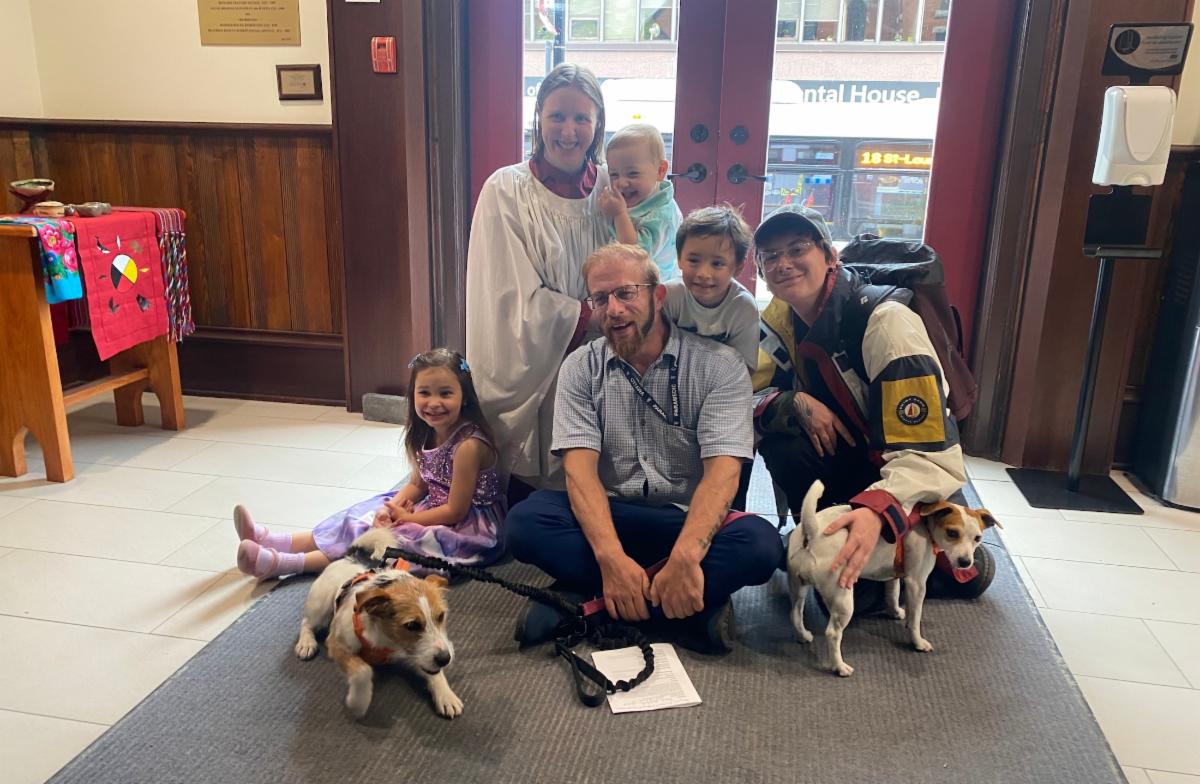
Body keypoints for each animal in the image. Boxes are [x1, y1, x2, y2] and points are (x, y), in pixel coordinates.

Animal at [294, 528, 463, 719]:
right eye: (411, 625)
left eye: (441, 616)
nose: (445, 659)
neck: (387, 640)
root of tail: (353, 554)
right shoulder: (337, 644)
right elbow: (363, 671)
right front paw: (358, 702)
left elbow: (433, 672)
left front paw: (446, 695)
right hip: (321, 605)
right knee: (306, 622)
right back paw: (306, 643)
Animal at [787, 480, 999, 676]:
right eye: (952, 532)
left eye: (978, 538)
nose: (965, 562)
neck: (925, 525)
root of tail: (812, 534)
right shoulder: (916, 583)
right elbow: (915, 618)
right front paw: (918, 641)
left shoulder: (893, 576)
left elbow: (893, 595)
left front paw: (895, 612)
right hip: (843, 599)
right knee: (832, 633)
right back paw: (839, 667)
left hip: (798, 587)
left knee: (795, 613)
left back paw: (803, 635)